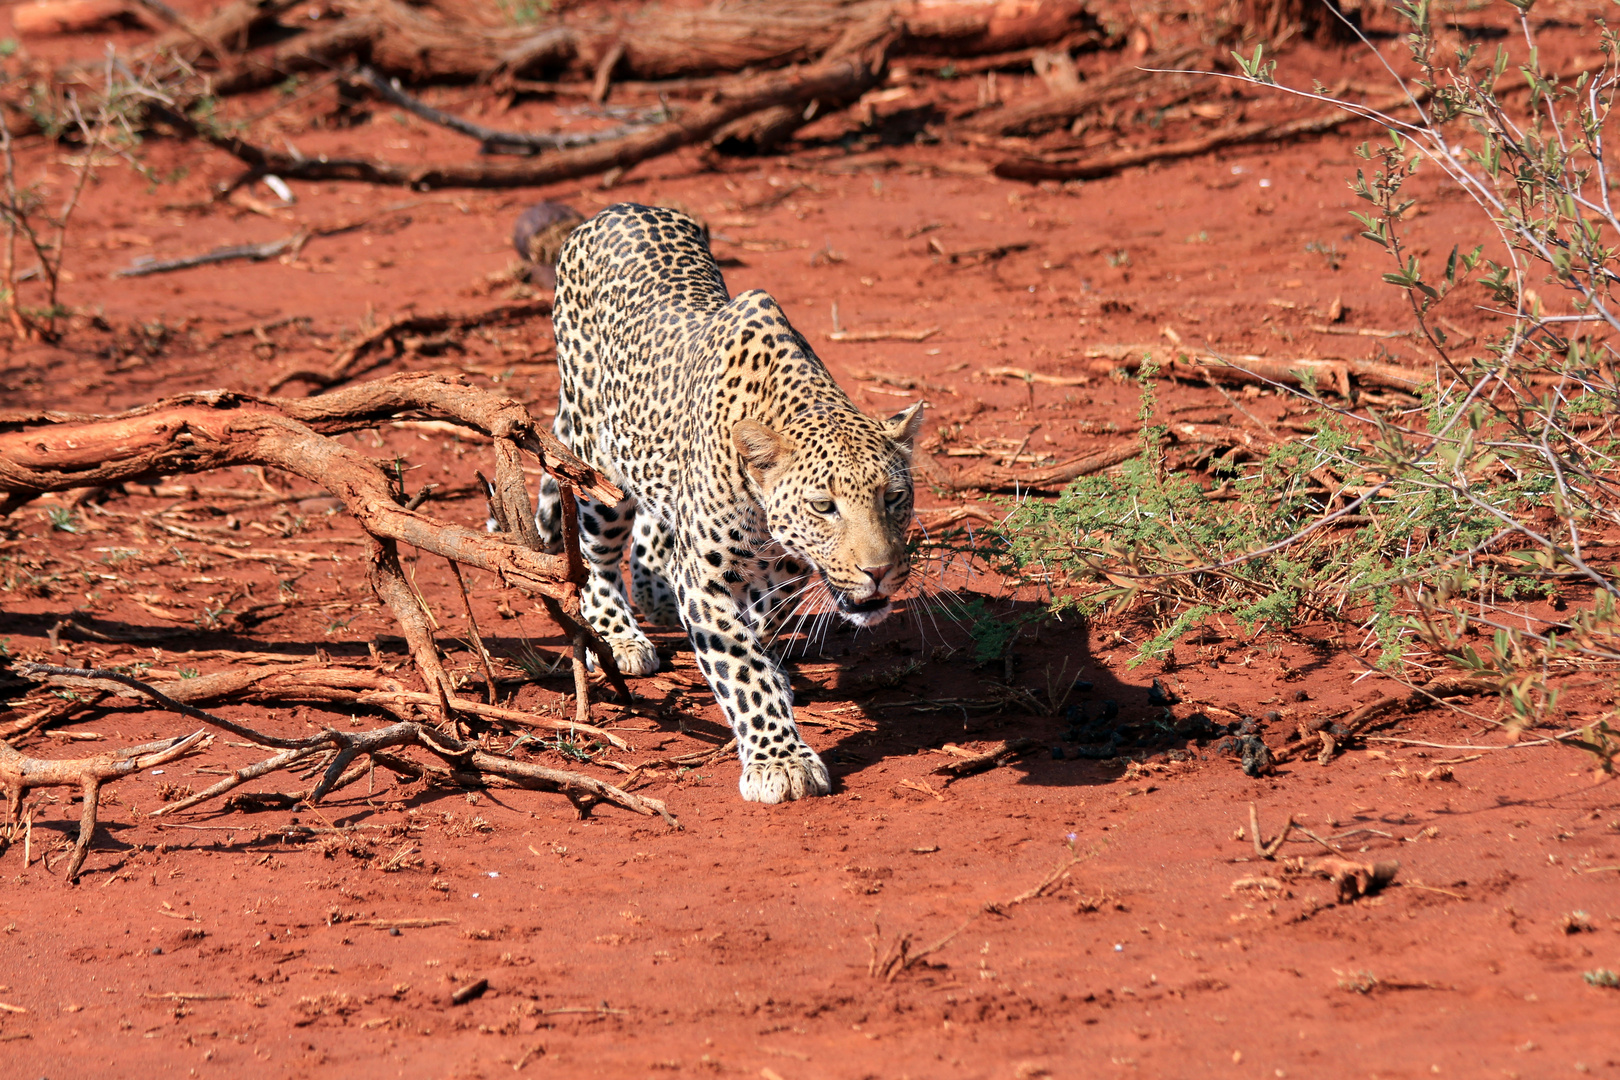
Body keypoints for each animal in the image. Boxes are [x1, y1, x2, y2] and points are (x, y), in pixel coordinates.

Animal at [534, 207, 926, 806]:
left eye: (895, 497)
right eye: (824, 506)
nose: (879, 571)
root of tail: (616, 210)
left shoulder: (778, 572)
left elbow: (759, 628)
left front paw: (774, 675)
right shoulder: (706, 579)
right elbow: (741, 668)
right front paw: (780, 762)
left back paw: (655, 593)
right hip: (599, 461)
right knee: (594, 555)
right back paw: (620, 634)